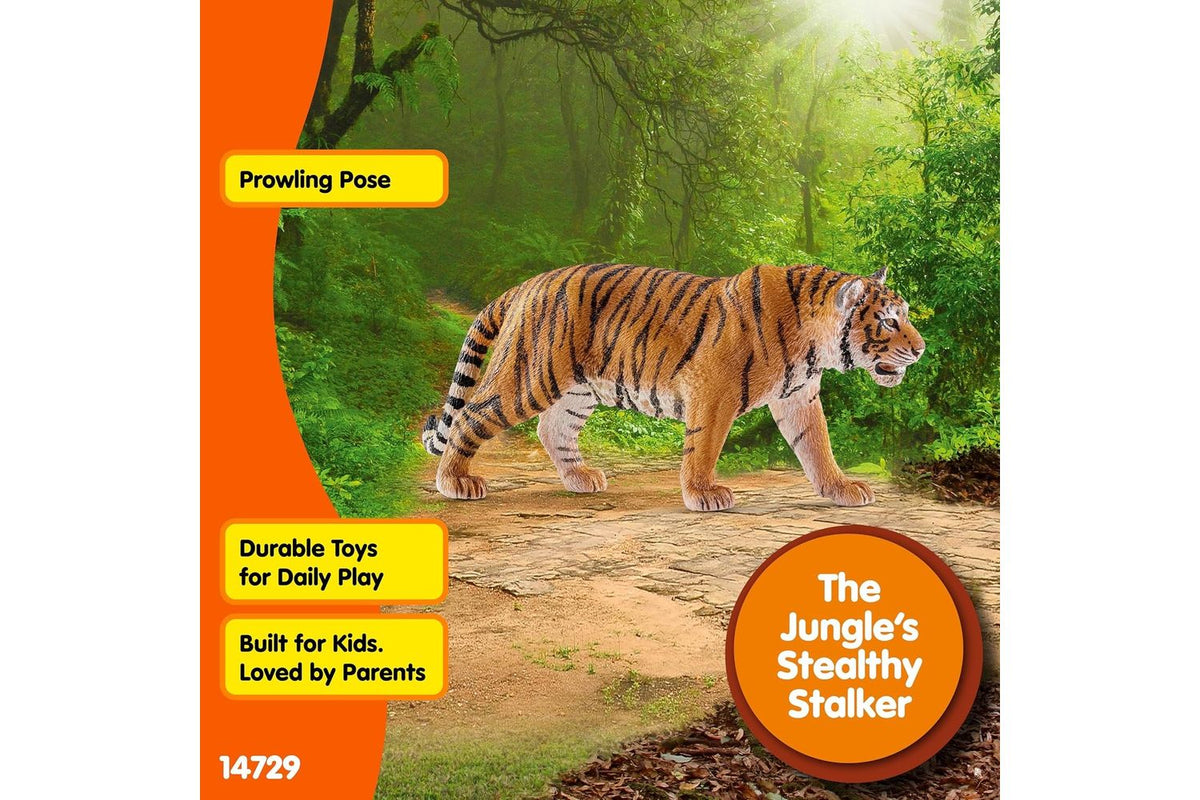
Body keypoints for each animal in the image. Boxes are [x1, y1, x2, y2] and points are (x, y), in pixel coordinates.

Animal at [421, 263, 924, 511]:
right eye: (889, 321)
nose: (921, 350)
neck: (815, 345)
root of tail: (525, 285)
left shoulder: (798, 397)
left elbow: (817, 446)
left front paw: (841, 489)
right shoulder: (713, 390)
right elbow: (704, 446)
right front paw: (703, 494)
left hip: (578, 389)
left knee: (553, 429)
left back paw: (581, 480)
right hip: (530, 376)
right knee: (471, 415)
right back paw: (455, 482)